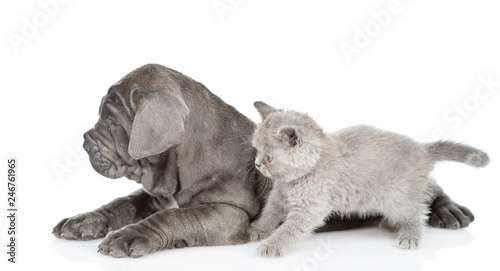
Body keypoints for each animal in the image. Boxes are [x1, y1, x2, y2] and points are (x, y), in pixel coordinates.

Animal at [248, 101, 490, 258]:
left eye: (269, 157)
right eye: (256, 150)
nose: (258, 164)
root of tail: (424, 150)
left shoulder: (310, 208)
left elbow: (290, 228)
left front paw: (271, 245)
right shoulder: (278, 194)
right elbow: (270, 212)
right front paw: (259, 229)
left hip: (395, 198)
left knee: (417, 212)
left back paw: (410, 236)